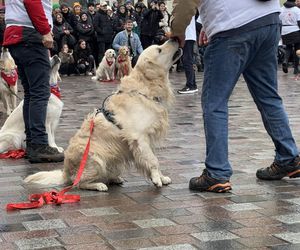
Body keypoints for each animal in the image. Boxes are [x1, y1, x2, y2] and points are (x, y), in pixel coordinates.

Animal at [24, 39, 183, 191]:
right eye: (159, 49)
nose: (175, 39)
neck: (145, 88)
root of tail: (65, 173)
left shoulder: (147, 139)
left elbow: (153, 158)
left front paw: (162, 177)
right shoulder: (139, 137)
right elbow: (153, 160)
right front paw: (157, 179)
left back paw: (114, 178)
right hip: (96, 158)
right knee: (78, 182)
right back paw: (98, 185)